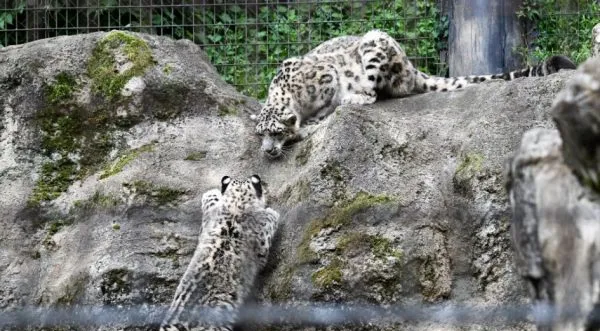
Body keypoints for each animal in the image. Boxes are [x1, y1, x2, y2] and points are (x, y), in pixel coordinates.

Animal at [252, 29, 576, 159]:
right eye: (260, 134)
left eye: (276, 132)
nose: (266, 151)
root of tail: (410, 65)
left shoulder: (328, 79)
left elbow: (325, 107)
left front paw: (309, 124)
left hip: (375, 45)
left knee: (373, 92)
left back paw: (354, 97)